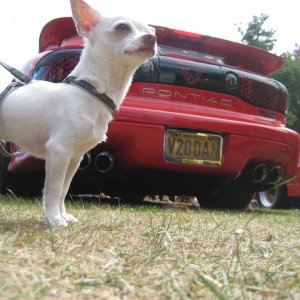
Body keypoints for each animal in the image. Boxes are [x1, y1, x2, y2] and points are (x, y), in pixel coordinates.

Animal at [0, 0, 158, 226]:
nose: (152, 38)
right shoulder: (59, 151)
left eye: (151, 31)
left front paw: (63, 214)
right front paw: (54, 219)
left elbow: (64, 189)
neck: (90, 91)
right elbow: (54, 189)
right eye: (122, 27)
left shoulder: (74, 157)